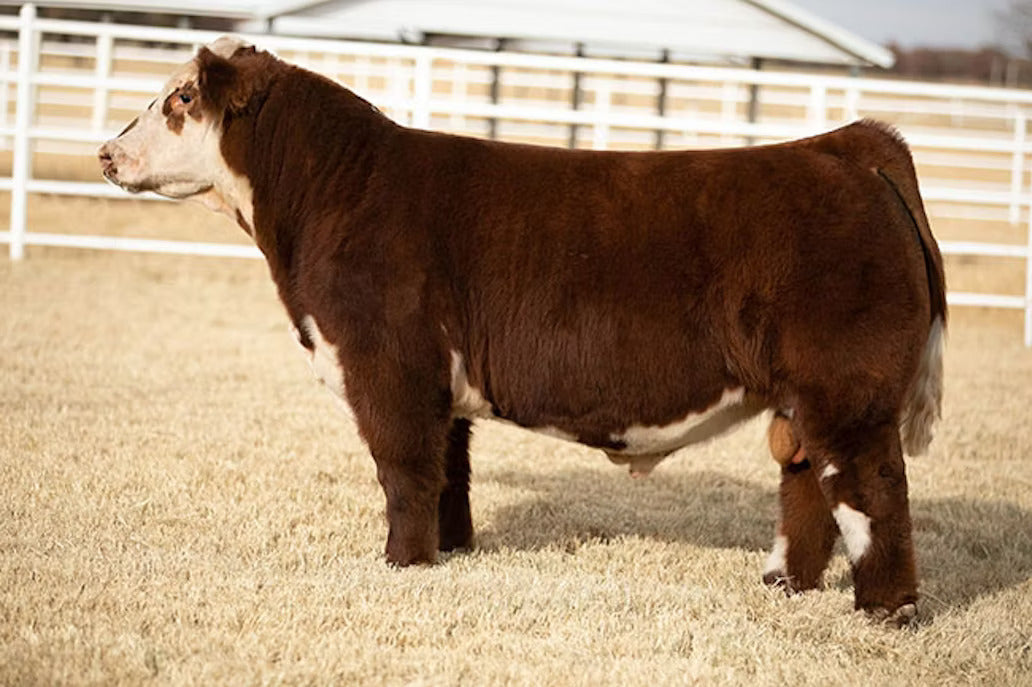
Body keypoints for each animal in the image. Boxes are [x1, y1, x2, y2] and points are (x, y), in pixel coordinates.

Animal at [99, 37, 946, 625]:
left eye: (180, 97)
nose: (106, 152)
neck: (337, 189)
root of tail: (847, 147)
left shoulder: (389, 367)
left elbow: (404, 471)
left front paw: (402, 563)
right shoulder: (439, 383)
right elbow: (449, 471)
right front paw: (449, 550)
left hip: (848, 390)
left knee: (872, 489)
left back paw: (885, 609)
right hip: (807, 397)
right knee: (807, 483)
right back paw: (783, 582)